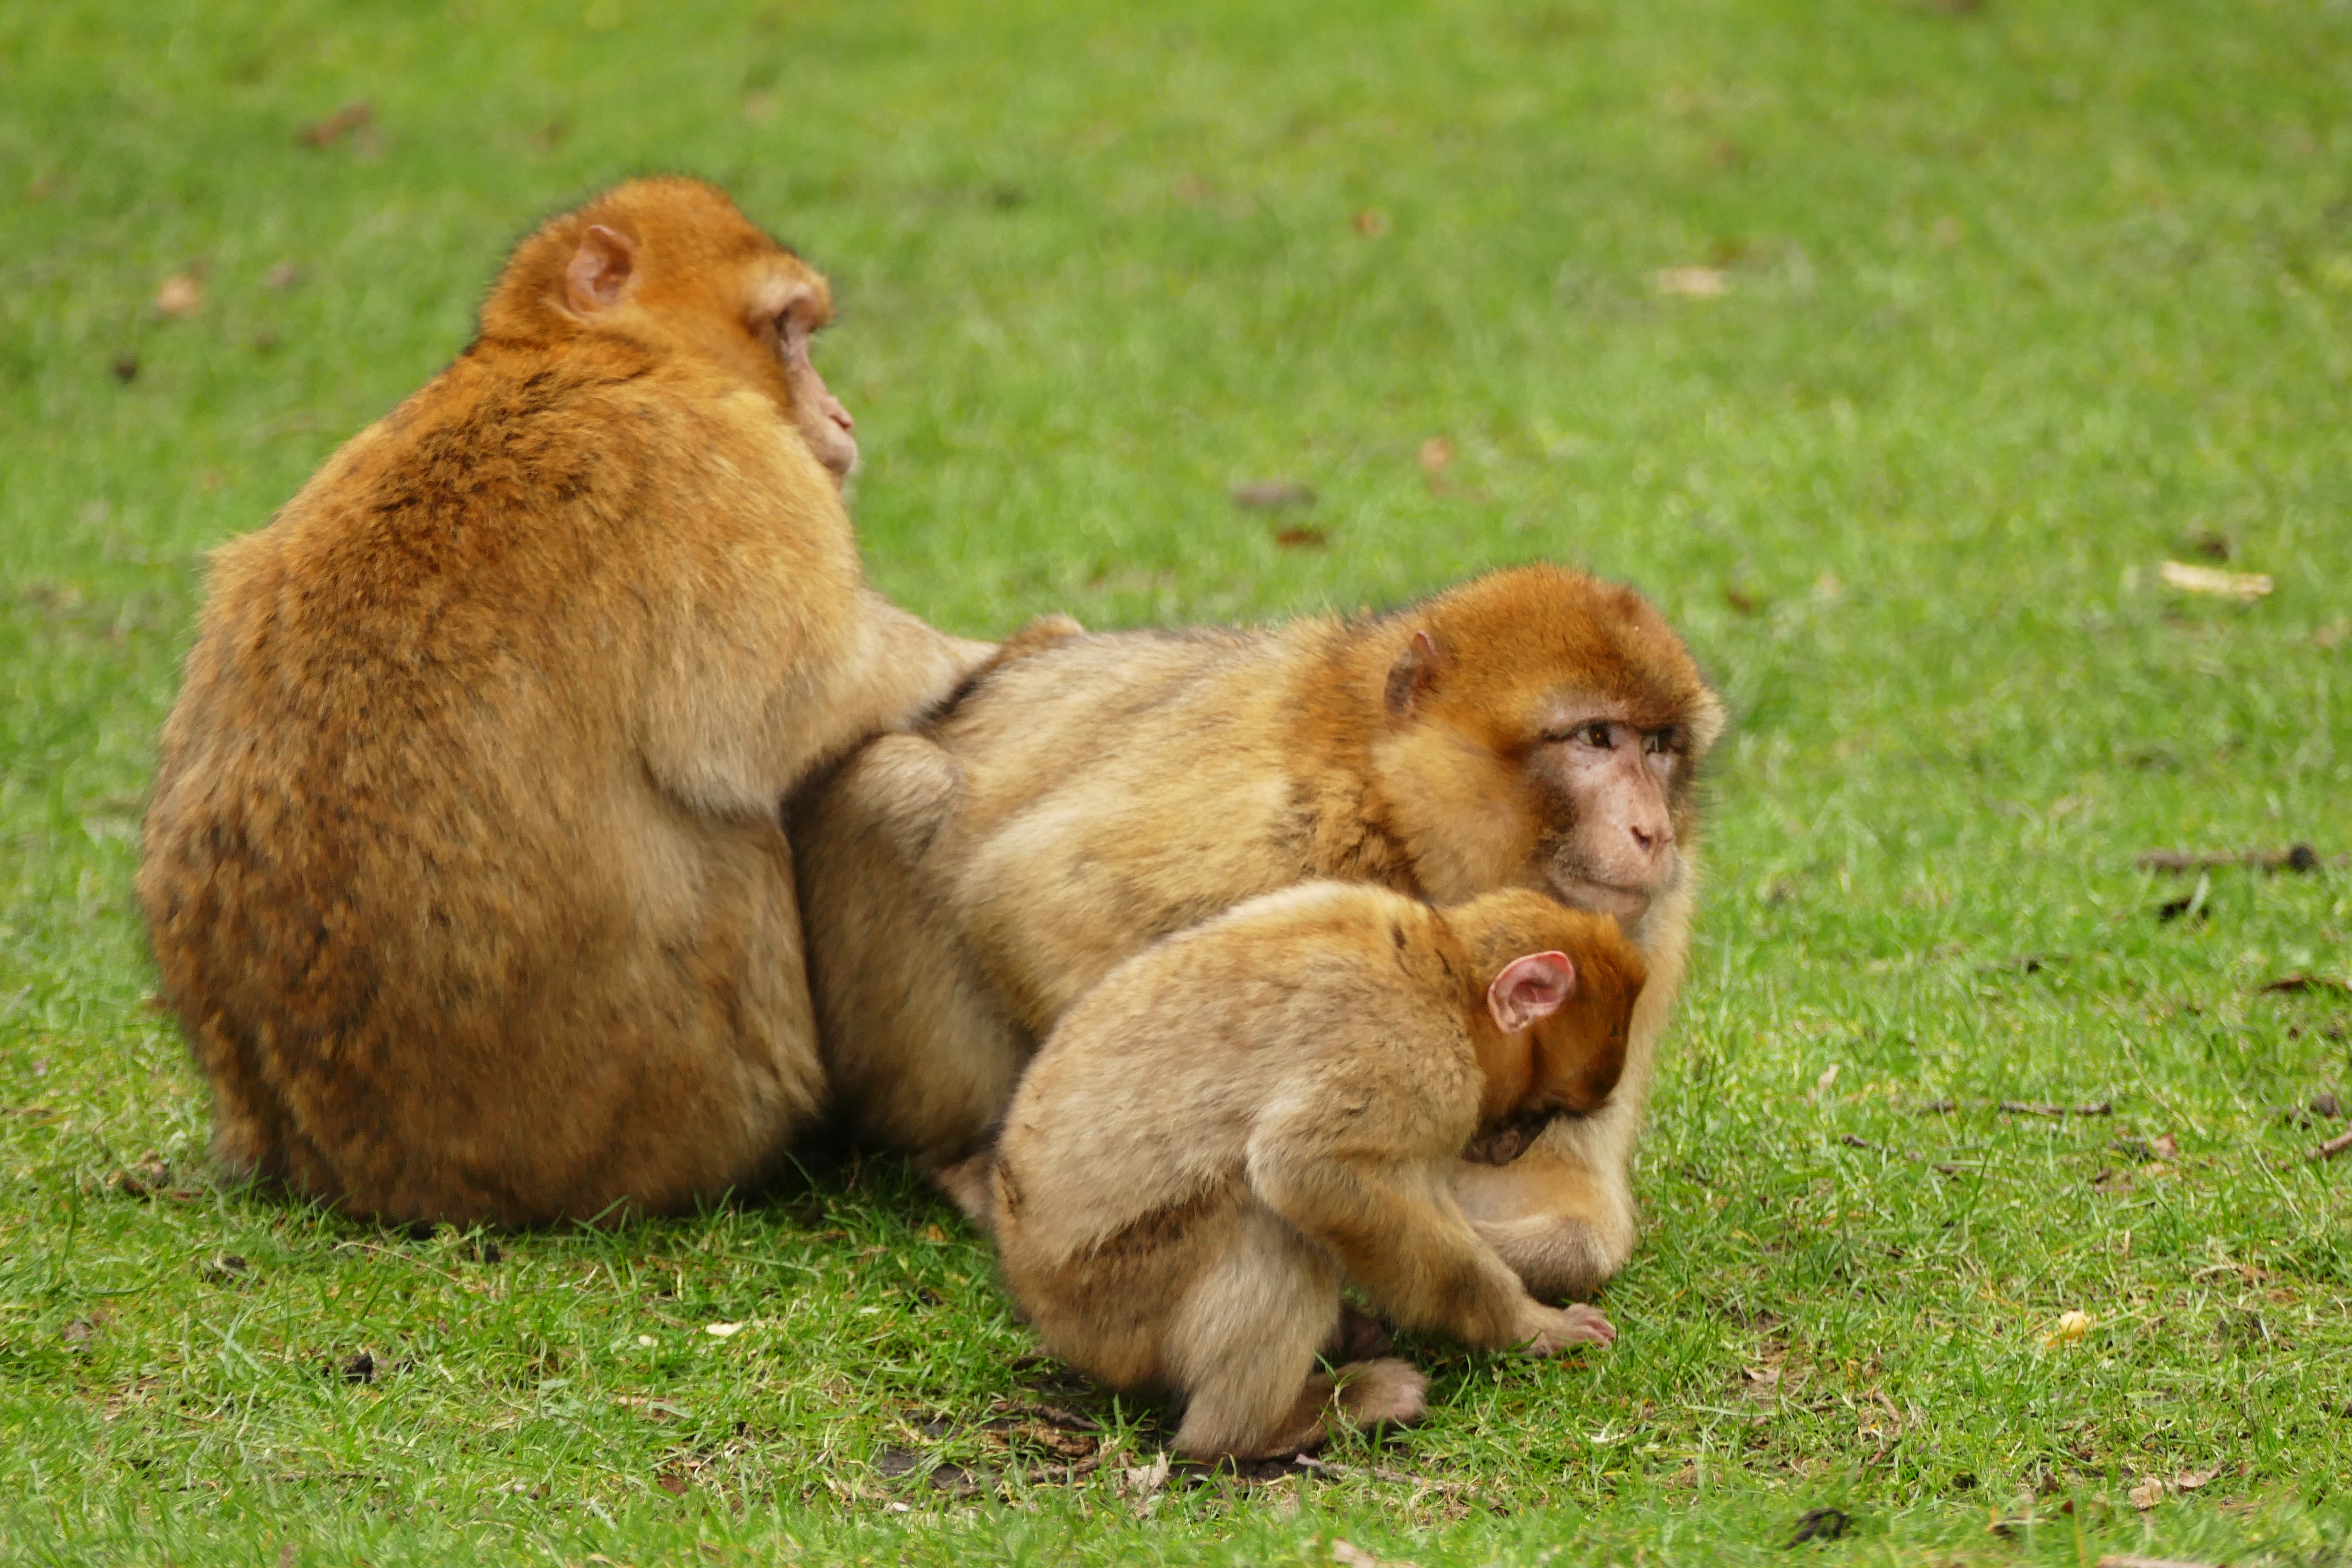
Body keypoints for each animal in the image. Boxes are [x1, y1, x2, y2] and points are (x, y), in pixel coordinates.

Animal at [138, 181, 988, 1222]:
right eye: (790, 330)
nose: (842, 415)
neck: (580, 354)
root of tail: (344, 1167)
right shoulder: (713, 456)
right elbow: (792, 697)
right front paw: (987, 651)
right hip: (669, 1102)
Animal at [799, 564, 1721, 1298]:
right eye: (1595, 737)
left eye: (1660, 746)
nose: (1652, 831)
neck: (1396, 814)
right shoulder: (1282, 816)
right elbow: (1028, 902)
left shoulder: (1632, 951)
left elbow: (1574, 1215)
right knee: (900, 789)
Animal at [988, 884, 1637, 1457]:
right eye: (1547, 1108)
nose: (1513, 1147)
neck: (1445, 974)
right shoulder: (1416, 1057)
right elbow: (1306, 1169)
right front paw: (1526, 1325)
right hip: (1114, 1297)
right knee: (1266, 1220)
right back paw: (1264, 1429)